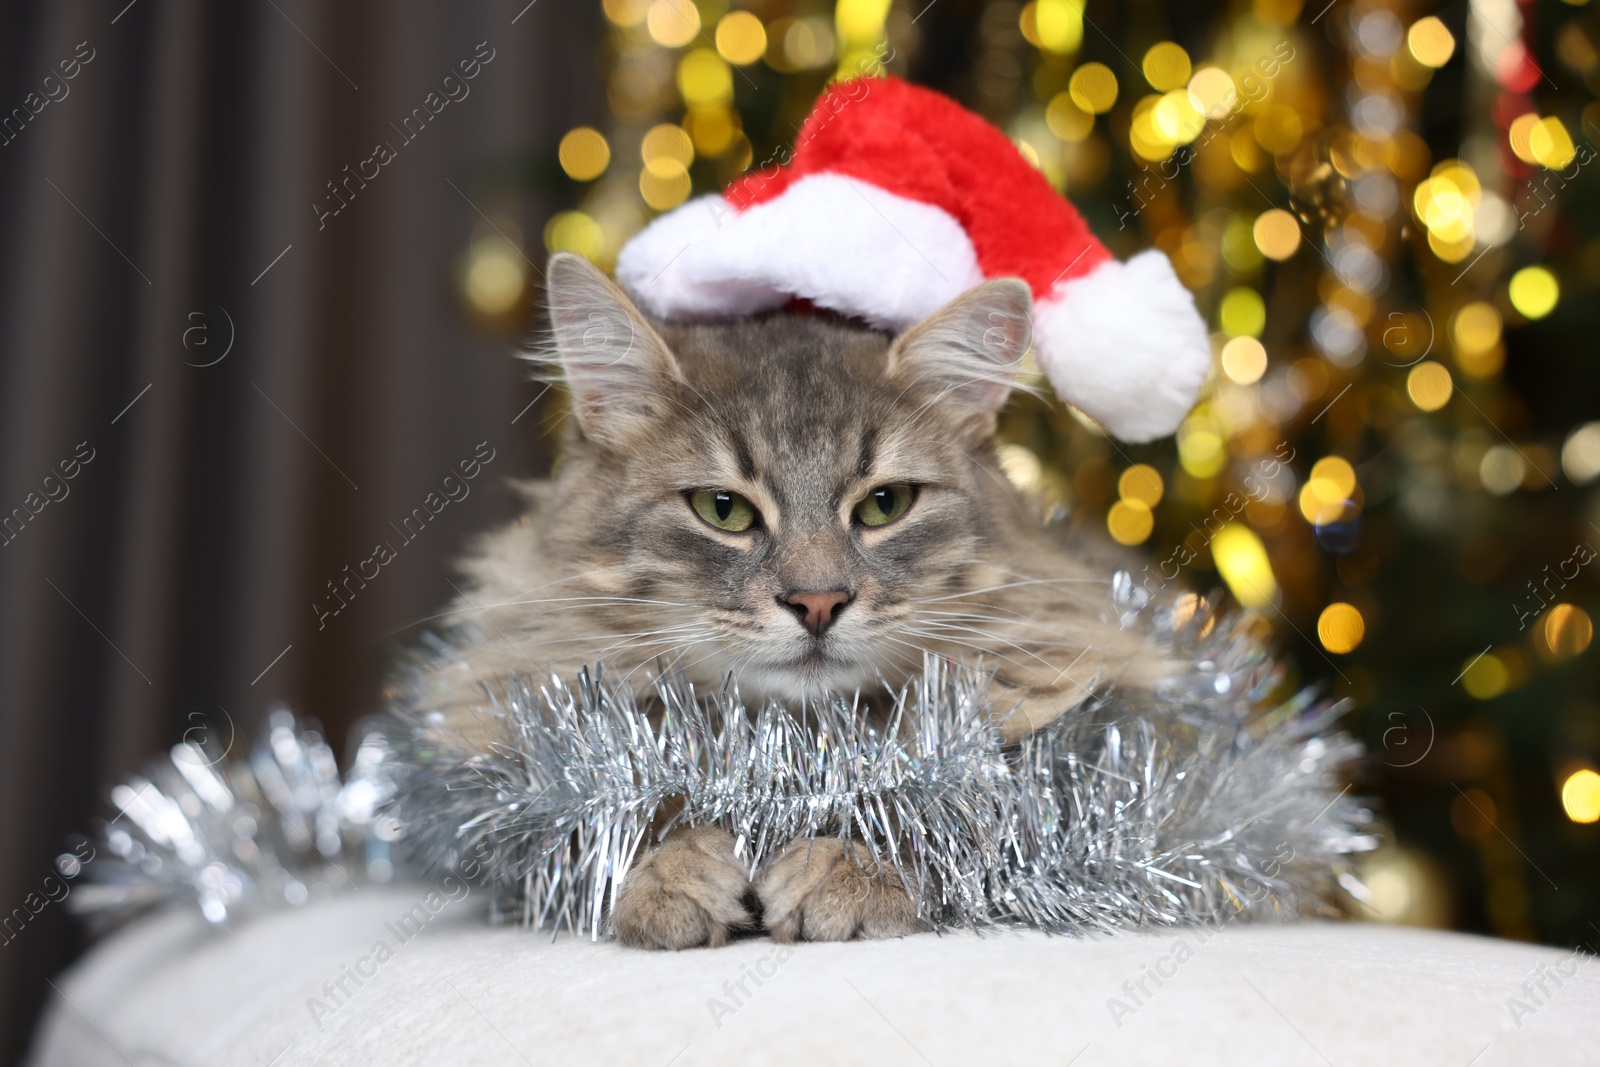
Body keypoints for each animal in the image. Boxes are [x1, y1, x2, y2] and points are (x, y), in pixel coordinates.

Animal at [425, 252, 1171, 953]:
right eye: (722, 509)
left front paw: (844, 869)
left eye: (885, 504)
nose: (818, 602)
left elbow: (937, 807)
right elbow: (626, 805)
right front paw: (675, 872)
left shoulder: (1061, 752)